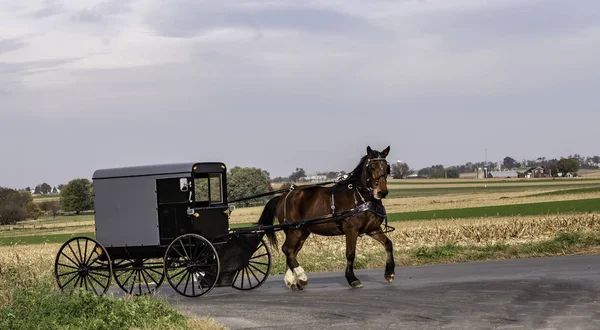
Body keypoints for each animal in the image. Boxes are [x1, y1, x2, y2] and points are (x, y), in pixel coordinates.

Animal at [256, 146, 394, 290]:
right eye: (372, 167)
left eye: (387, 167)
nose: (382, 192)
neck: (359, 197)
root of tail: (282, 197)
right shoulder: (351, 230)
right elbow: (350, 254)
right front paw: (352, 279)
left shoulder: (373, 229)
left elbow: (388, 244)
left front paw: (389, 273)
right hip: (293, 231)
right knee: (287, 250)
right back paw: (301, 276)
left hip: (302, 232)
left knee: (292, 251)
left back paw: (293, 280)